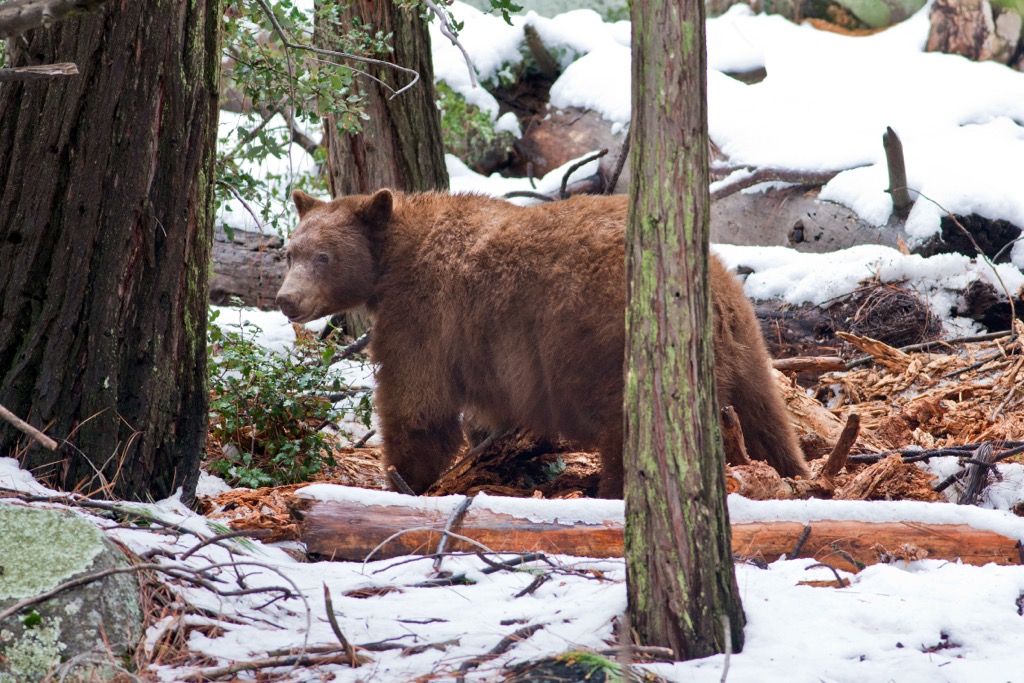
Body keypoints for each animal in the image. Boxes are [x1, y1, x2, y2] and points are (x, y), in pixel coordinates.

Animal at [276, 189, 809, 498]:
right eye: (290, 251)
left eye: (323, 256)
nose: (286, 300)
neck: (393, 257)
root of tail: (713, 294)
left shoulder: (423, 314)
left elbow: (417, 402)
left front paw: (402, 477)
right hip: (747, 347)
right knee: (766, 416)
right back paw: (793, 472)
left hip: (612, 349)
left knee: (631, 428)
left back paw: (610, 490)